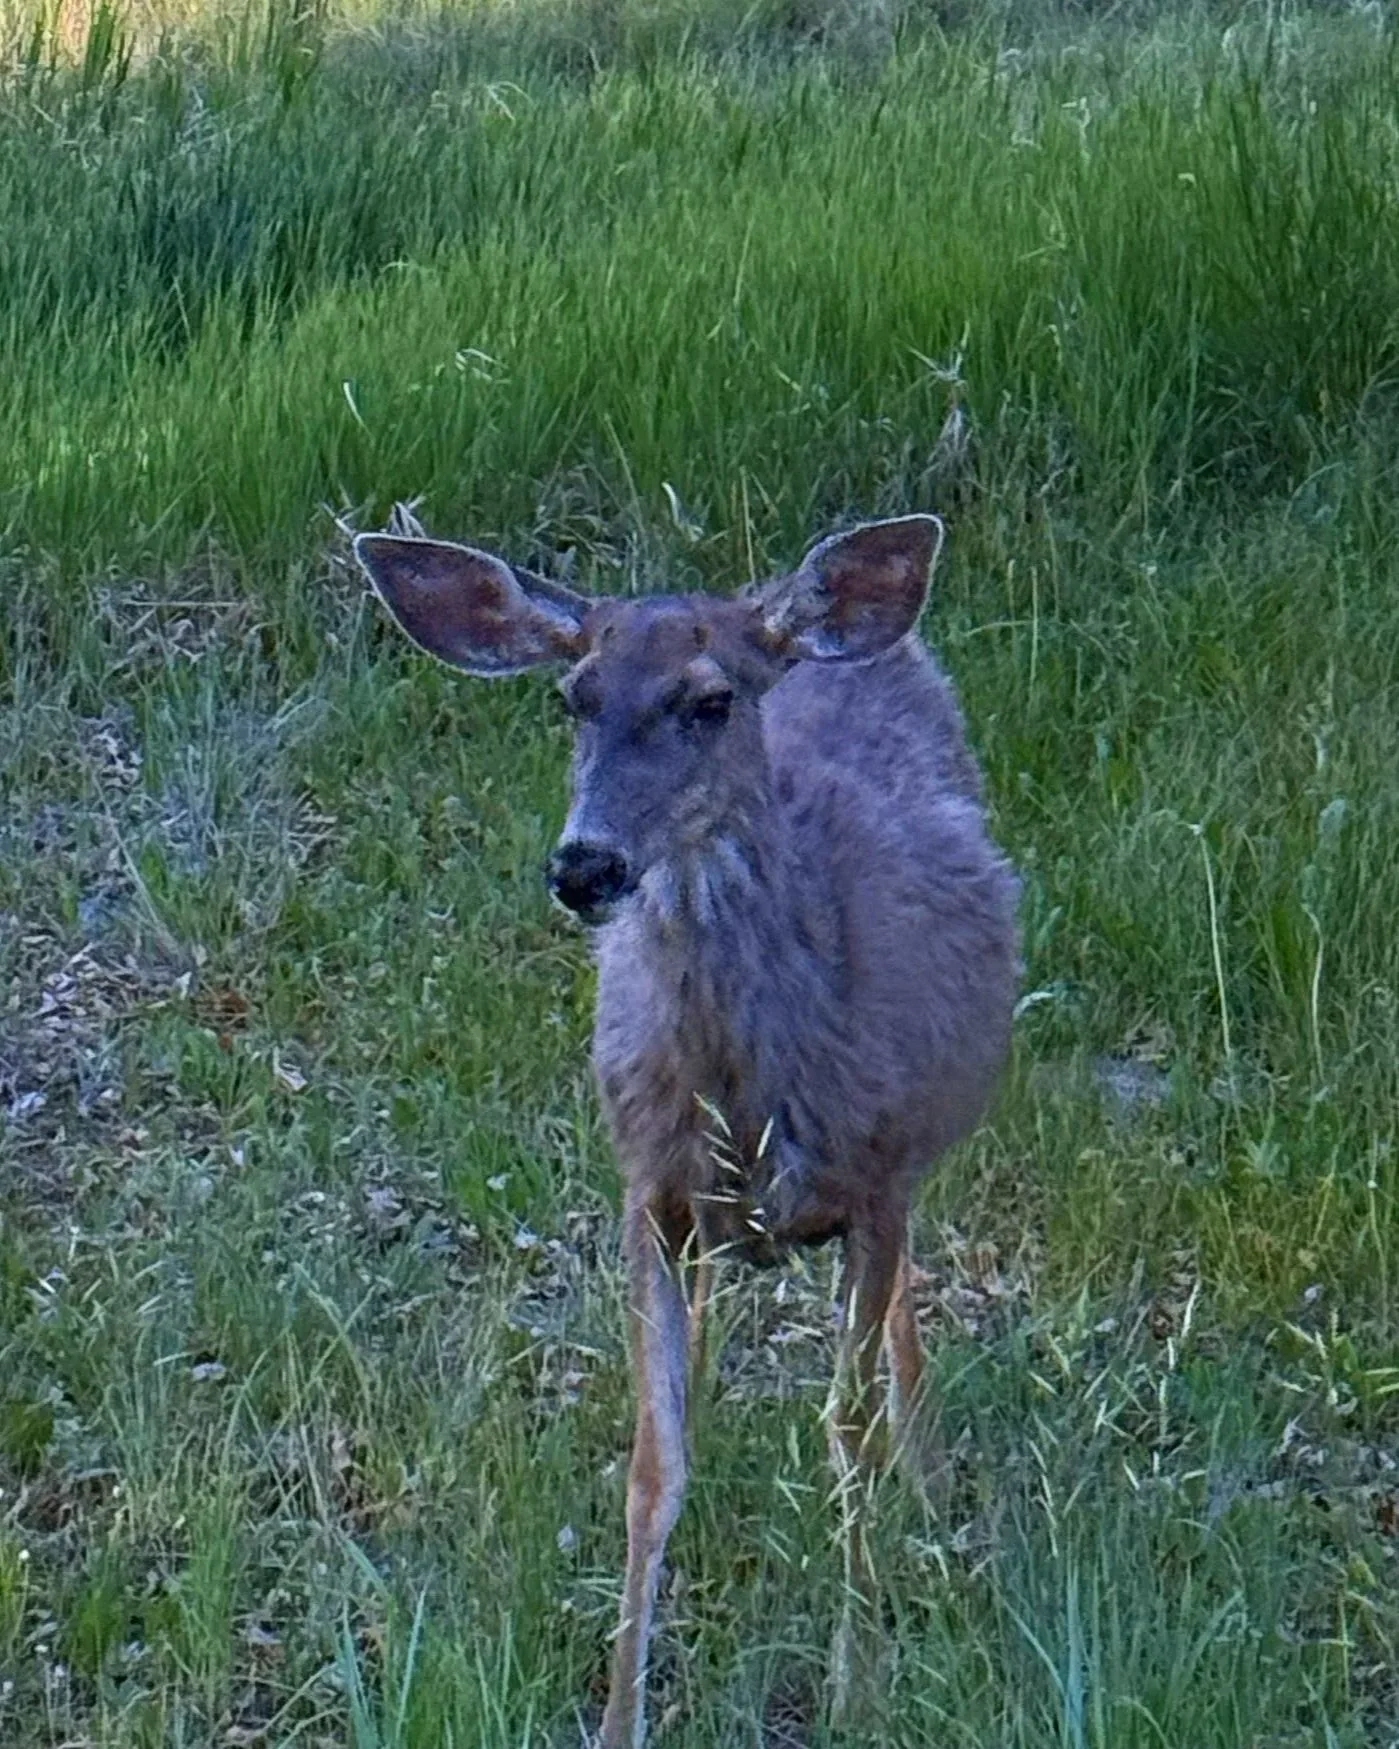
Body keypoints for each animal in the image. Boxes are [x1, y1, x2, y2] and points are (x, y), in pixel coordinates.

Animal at [353, 508, 1020, 1747]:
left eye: (708, 702)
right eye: (572, 697)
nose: (585, 865)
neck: (750, 1088)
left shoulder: (874, 1176)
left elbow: (845, 1427)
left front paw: (858, 1681)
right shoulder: (644, 1193)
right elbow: (652, 1464)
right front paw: (621, 1711)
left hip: (915, 1147)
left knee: (906, 1309)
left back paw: (936, 1486)